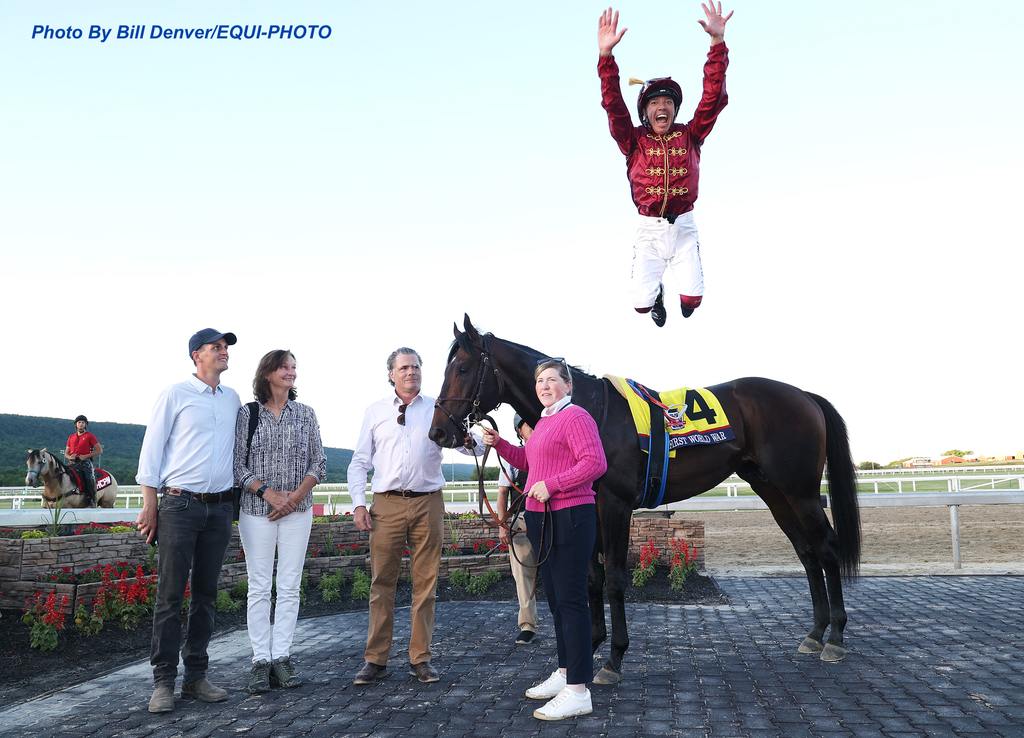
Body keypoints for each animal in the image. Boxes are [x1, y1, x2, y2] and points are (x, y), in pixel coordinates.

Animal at [428, 313, 860, 683]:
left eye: (462, 368)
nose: (439, 432)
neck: (591, 413)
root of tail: (803, 395)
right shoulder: (590, 508)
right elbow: (592, 577)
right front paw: (593, 644)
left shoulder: (615, 505)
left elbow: (616, 578)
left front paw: (614, 658)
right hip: (773, 491)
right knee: (807, 552)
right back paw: (815, 633)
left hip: (801, 492)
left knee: (826, 548)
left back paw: (835, 637)